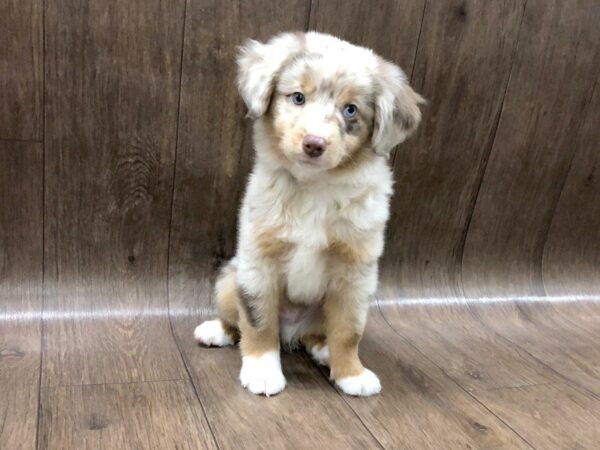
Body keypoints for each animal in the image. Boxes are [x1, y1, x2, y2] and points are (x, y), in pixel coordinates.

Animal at [195, 32, 424, 398]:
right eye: (298, 97)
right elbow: (257, 321)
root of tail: (291, 332)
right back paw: (216, 331)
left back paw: (323, 349)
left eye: (350, 110)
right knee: (237, 319)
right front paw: (262, 370)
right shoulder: (259, 261)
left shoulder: (355, 273)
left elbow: (348, 330)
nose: (314, 144)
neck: (315, 189)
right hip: (230, 279)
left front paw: (351, 373)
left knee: (319, 332)